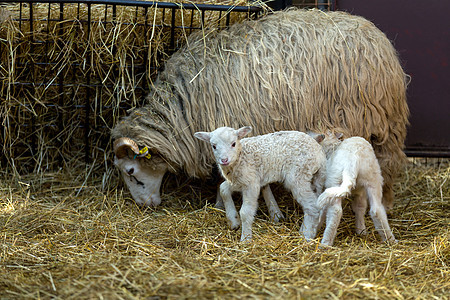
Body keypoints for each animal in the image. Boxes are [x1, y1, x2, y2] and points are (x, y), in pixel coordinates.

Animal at [110, 7, 410, 209]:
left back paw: (386, 203)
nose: (146, 205)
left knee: (389, 162)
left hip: (381, 119)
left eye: (131, 171)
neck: (183, 107)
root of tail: (377, 37)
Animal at [195, 126, 326, 241]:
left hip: (298, 175)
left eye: (233, 143)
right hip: (314, 178)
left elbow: (245, 212)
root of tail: (319, 153)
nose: (224, 160)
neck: (240, 156)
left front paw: (246, 239)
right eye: (214, 146)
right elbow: (223, 189)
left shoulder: (251, 183)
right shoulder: (239, 181)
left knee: (312, 207)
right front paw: (233, 220)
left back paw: (307, 236)